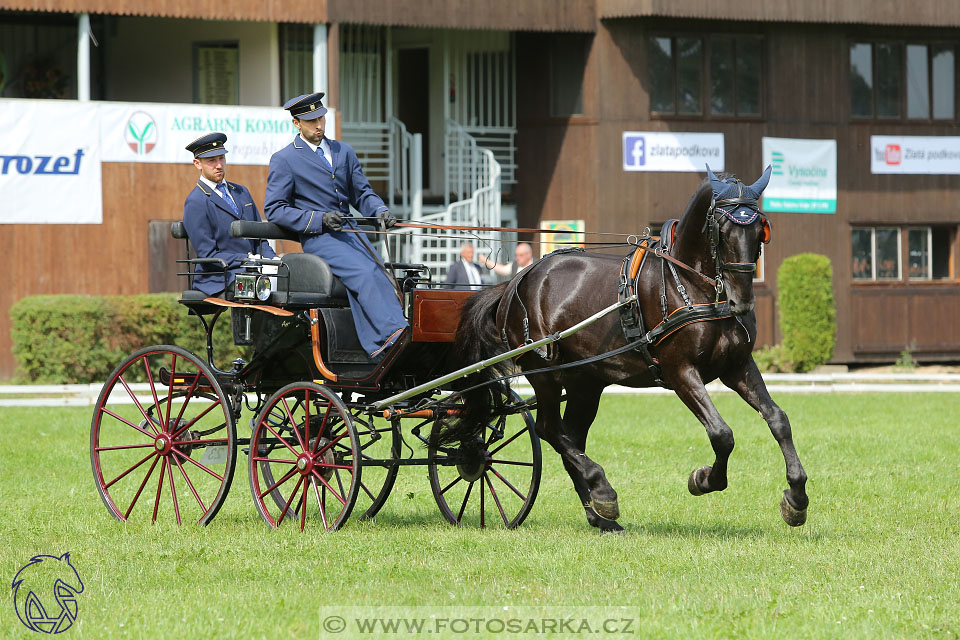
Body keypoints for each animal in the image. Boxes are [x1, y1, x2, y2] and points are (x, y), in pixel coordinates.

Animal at [440, 168, 808, 532]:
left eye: (761, 232)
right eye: (722, 229)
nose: (741, 301)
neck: (690, 285)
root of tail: (515, 281)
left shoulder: (737, 366)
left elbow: (779, 419)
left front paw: (796, 497)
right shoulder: (680, 371)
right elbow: (722, 434)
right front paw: (703, 479)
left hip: (585, 382)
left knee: (571, 437)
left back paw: (598, 513)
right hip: (545, 373)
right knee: (549, 429)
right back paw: (603, 490)